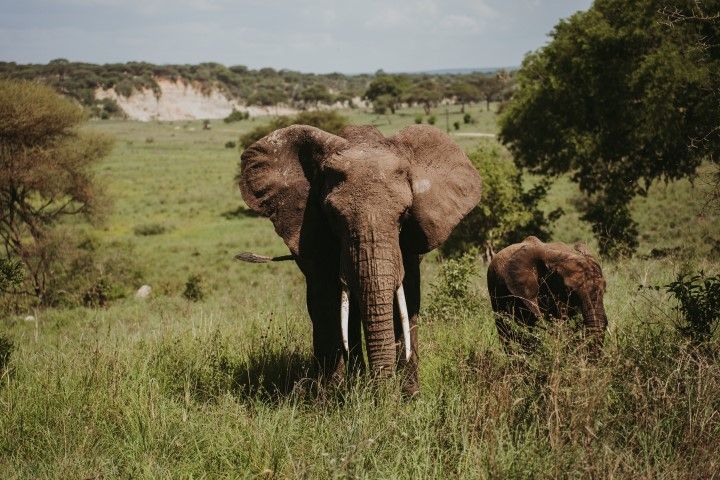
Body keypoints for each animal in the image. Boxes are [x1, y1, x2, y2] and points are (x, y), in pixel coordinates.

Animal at [238, 124, 482, 395]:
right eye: (334, 217)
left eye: (404, 215)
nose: (383, 394)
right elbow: (328, 302)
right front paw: (332, 397)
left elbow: (407, 298)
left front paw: (409, 397)